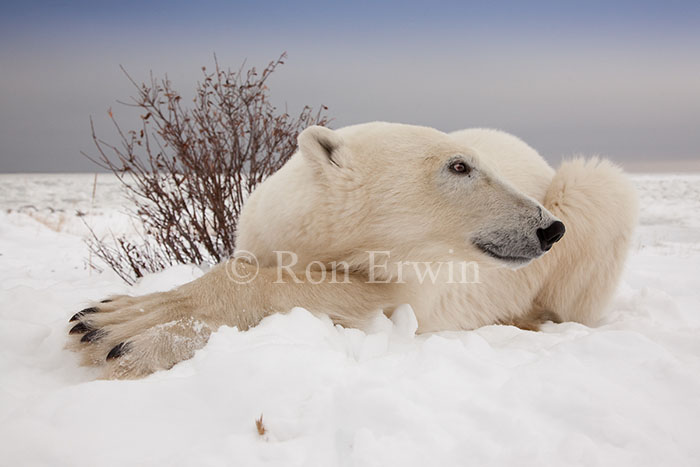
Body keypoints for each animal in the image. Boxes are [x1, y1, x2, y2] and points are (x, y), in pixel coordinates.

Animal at [67, 122, 638, 379]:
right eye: (460, 166)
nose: (547, 228)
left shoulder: (419, 277)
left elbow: (371, 300)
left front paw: (117, 332)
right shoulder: (268, 228)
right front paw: (103, 316)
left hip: (579, 205)